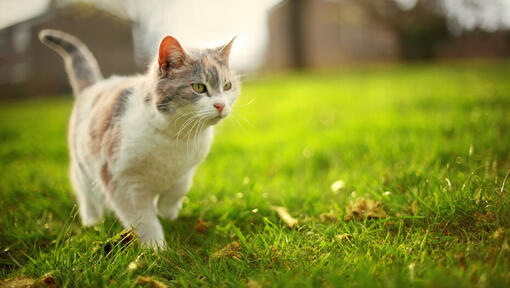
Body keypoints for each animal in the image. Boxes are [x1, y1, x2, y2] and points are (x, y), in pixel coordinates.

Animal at [38, 30, 240, 249]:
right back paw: (93, 221)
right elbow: (143, 219)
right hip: (83, 168)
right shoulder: (121, 181)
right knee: (87, 195)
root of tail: (96, 85)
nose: (220, 105)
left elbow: (179, 187)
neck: (174, 137)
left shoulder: (188, 167)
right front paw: (156, 248)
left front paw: (167, 211)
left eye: (227, 86)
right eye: (198, 87)